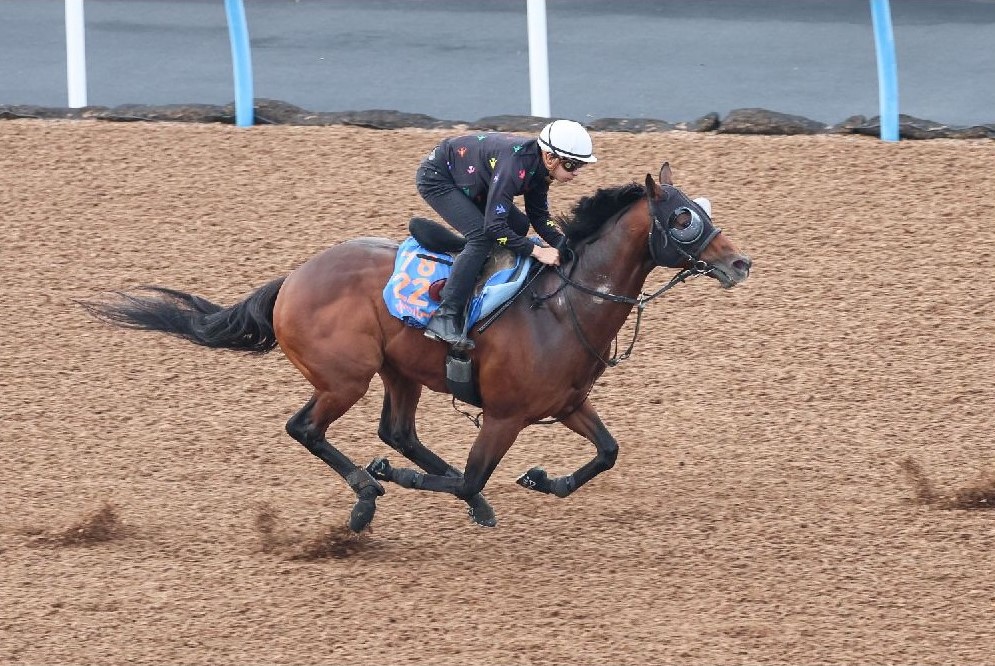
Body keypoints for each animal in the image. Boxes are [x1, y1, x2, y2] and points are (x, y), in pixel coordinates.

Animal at [83, 163, 748, 532]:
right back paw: (366, 496)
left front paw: (542, 480)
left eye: (701, 209)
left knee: (397, 430)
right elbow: (472, 479)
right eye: (684, 218)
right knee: (307, 429)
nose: (740, 262)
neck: (564, 307)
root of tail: (293, 279)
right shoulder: (505, 416)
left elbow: (607, 452)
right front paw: (397, 479)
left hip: (396, 369)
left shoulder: (565, 404)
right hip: (344, 378)